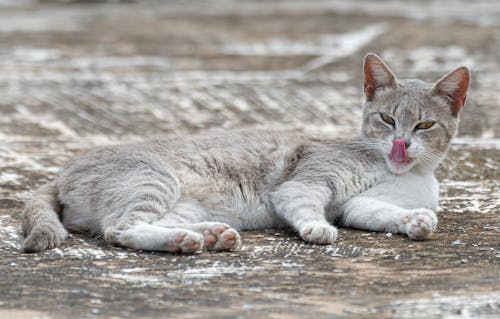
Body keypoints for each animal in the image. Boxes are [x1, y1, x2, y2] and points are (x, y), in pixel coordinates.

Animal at [22, 55, 468, 255]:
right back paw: (188, 240)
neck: (400, 173)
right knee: (120, 229)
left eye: (424, 125)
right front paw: (317, 228)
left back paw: (208, 235)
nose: (400, 144)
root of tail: (62, 171)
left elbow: (380, 212)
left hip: (178, 201)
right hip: (153, 180)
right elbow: (307, 205)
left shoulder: (354, 206)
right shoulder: (305, 184)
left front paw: (415, 220)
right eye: (387, 119)